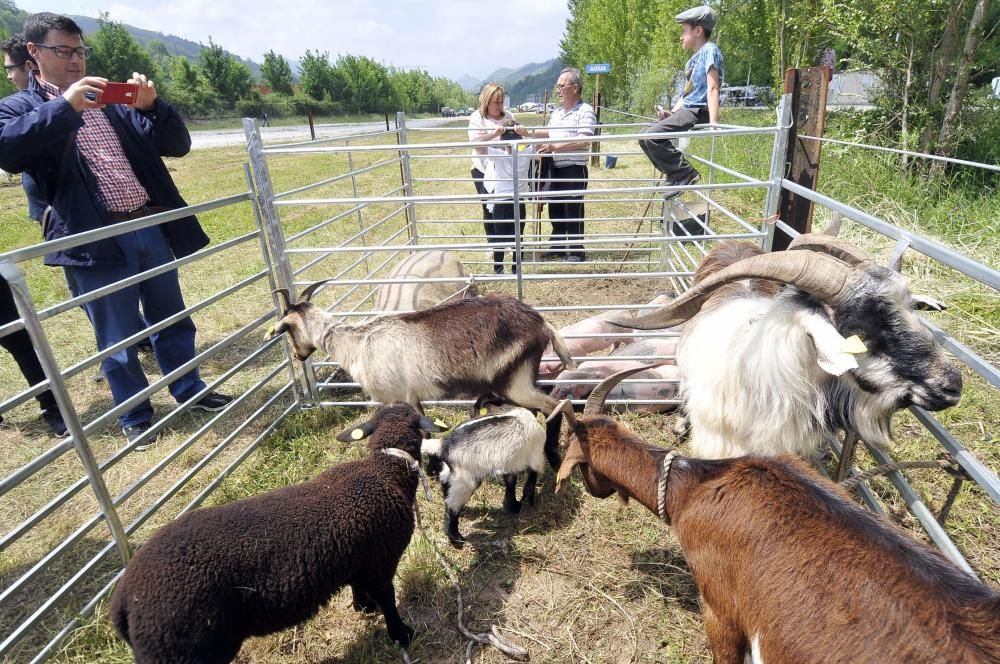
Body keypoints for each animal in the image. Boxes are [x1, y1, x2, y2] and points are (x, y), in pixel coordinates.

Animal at [108, 402, 446, 664]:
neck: (385, 471)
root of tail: (124, 602)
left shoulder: (359, 557)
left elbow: (357, 586)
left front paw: (364, 607)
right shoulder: (381, 560)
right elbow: (388, 598)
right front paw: (400, 633)